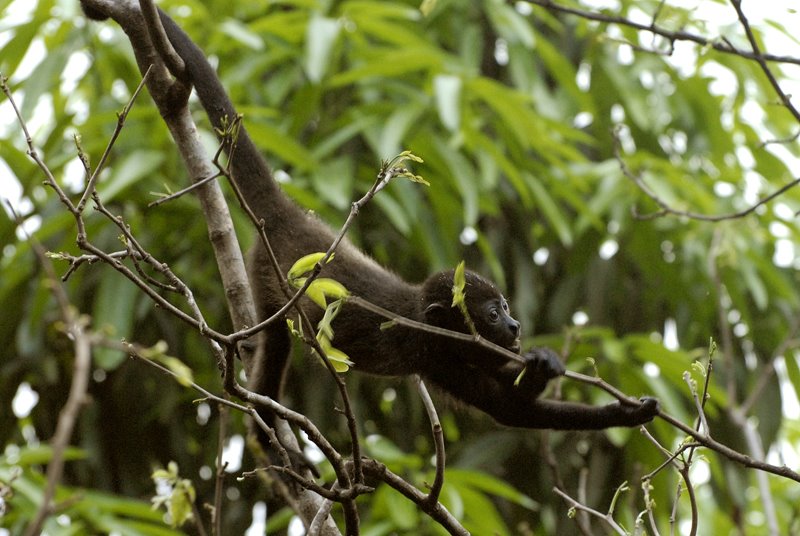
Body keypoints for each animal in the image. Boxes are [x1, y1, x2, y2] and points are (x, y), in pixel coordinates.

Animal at [90, 5, 660, 432]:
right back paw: (267, 424)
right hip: (264, 273)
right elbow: (508, 410)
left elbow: (514, 407)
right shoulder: (436, 353)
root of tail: (287, 215)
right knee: (277, 343)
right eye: (493, 313)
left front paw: (623, 407)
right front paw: (554, 373)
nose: (517, 325)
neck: (432, 320)